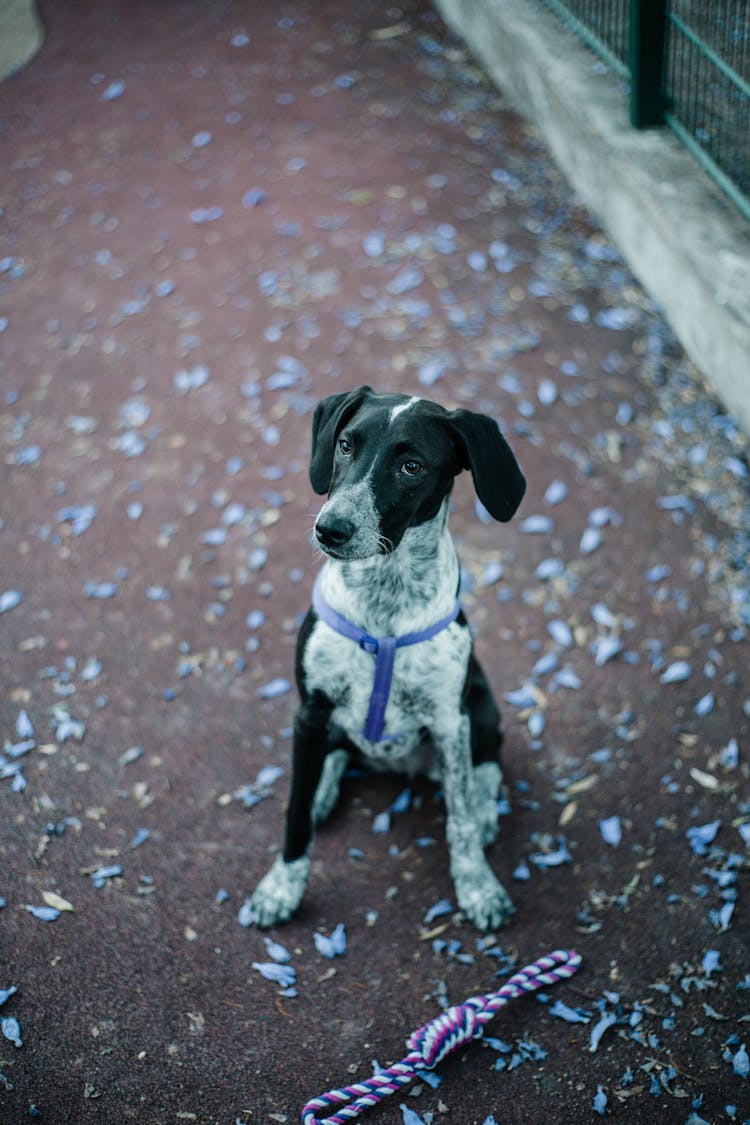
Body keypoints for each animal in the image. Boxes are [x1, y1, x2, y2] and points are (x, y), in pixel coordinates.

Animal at [249, 387, 526, 931]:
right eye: (345, 445)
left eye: (411, 466)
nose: (330, 529)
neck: (385, 603)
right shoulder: (310, 713)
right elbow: (294, 813)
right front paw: (281, 887)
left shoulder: (449, 723)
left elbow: (459, 821)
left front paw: (478, 886)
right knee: (337, 754)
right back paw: (324, 789)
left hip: (480, 705)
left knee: (485, 764)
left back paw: (486, 808)